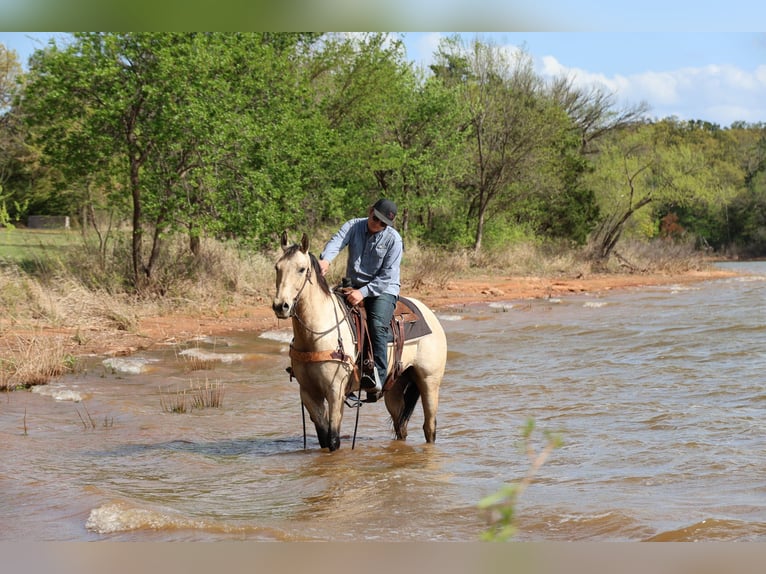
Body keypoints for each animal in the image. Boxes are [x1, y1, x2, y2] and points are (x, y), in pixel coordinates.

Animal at [272, 232, 447, 452]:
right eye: (277, 267)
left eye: (301, 269)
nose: (281, 306)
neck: (317, 333)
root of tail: (428, 313)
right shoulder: (308, 392)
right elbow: (323, 437)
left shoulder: (335, 391)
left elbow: (333, 439)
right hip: (395, 387)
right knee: (401, 427)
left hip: (429, 381)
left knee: (429, 426)